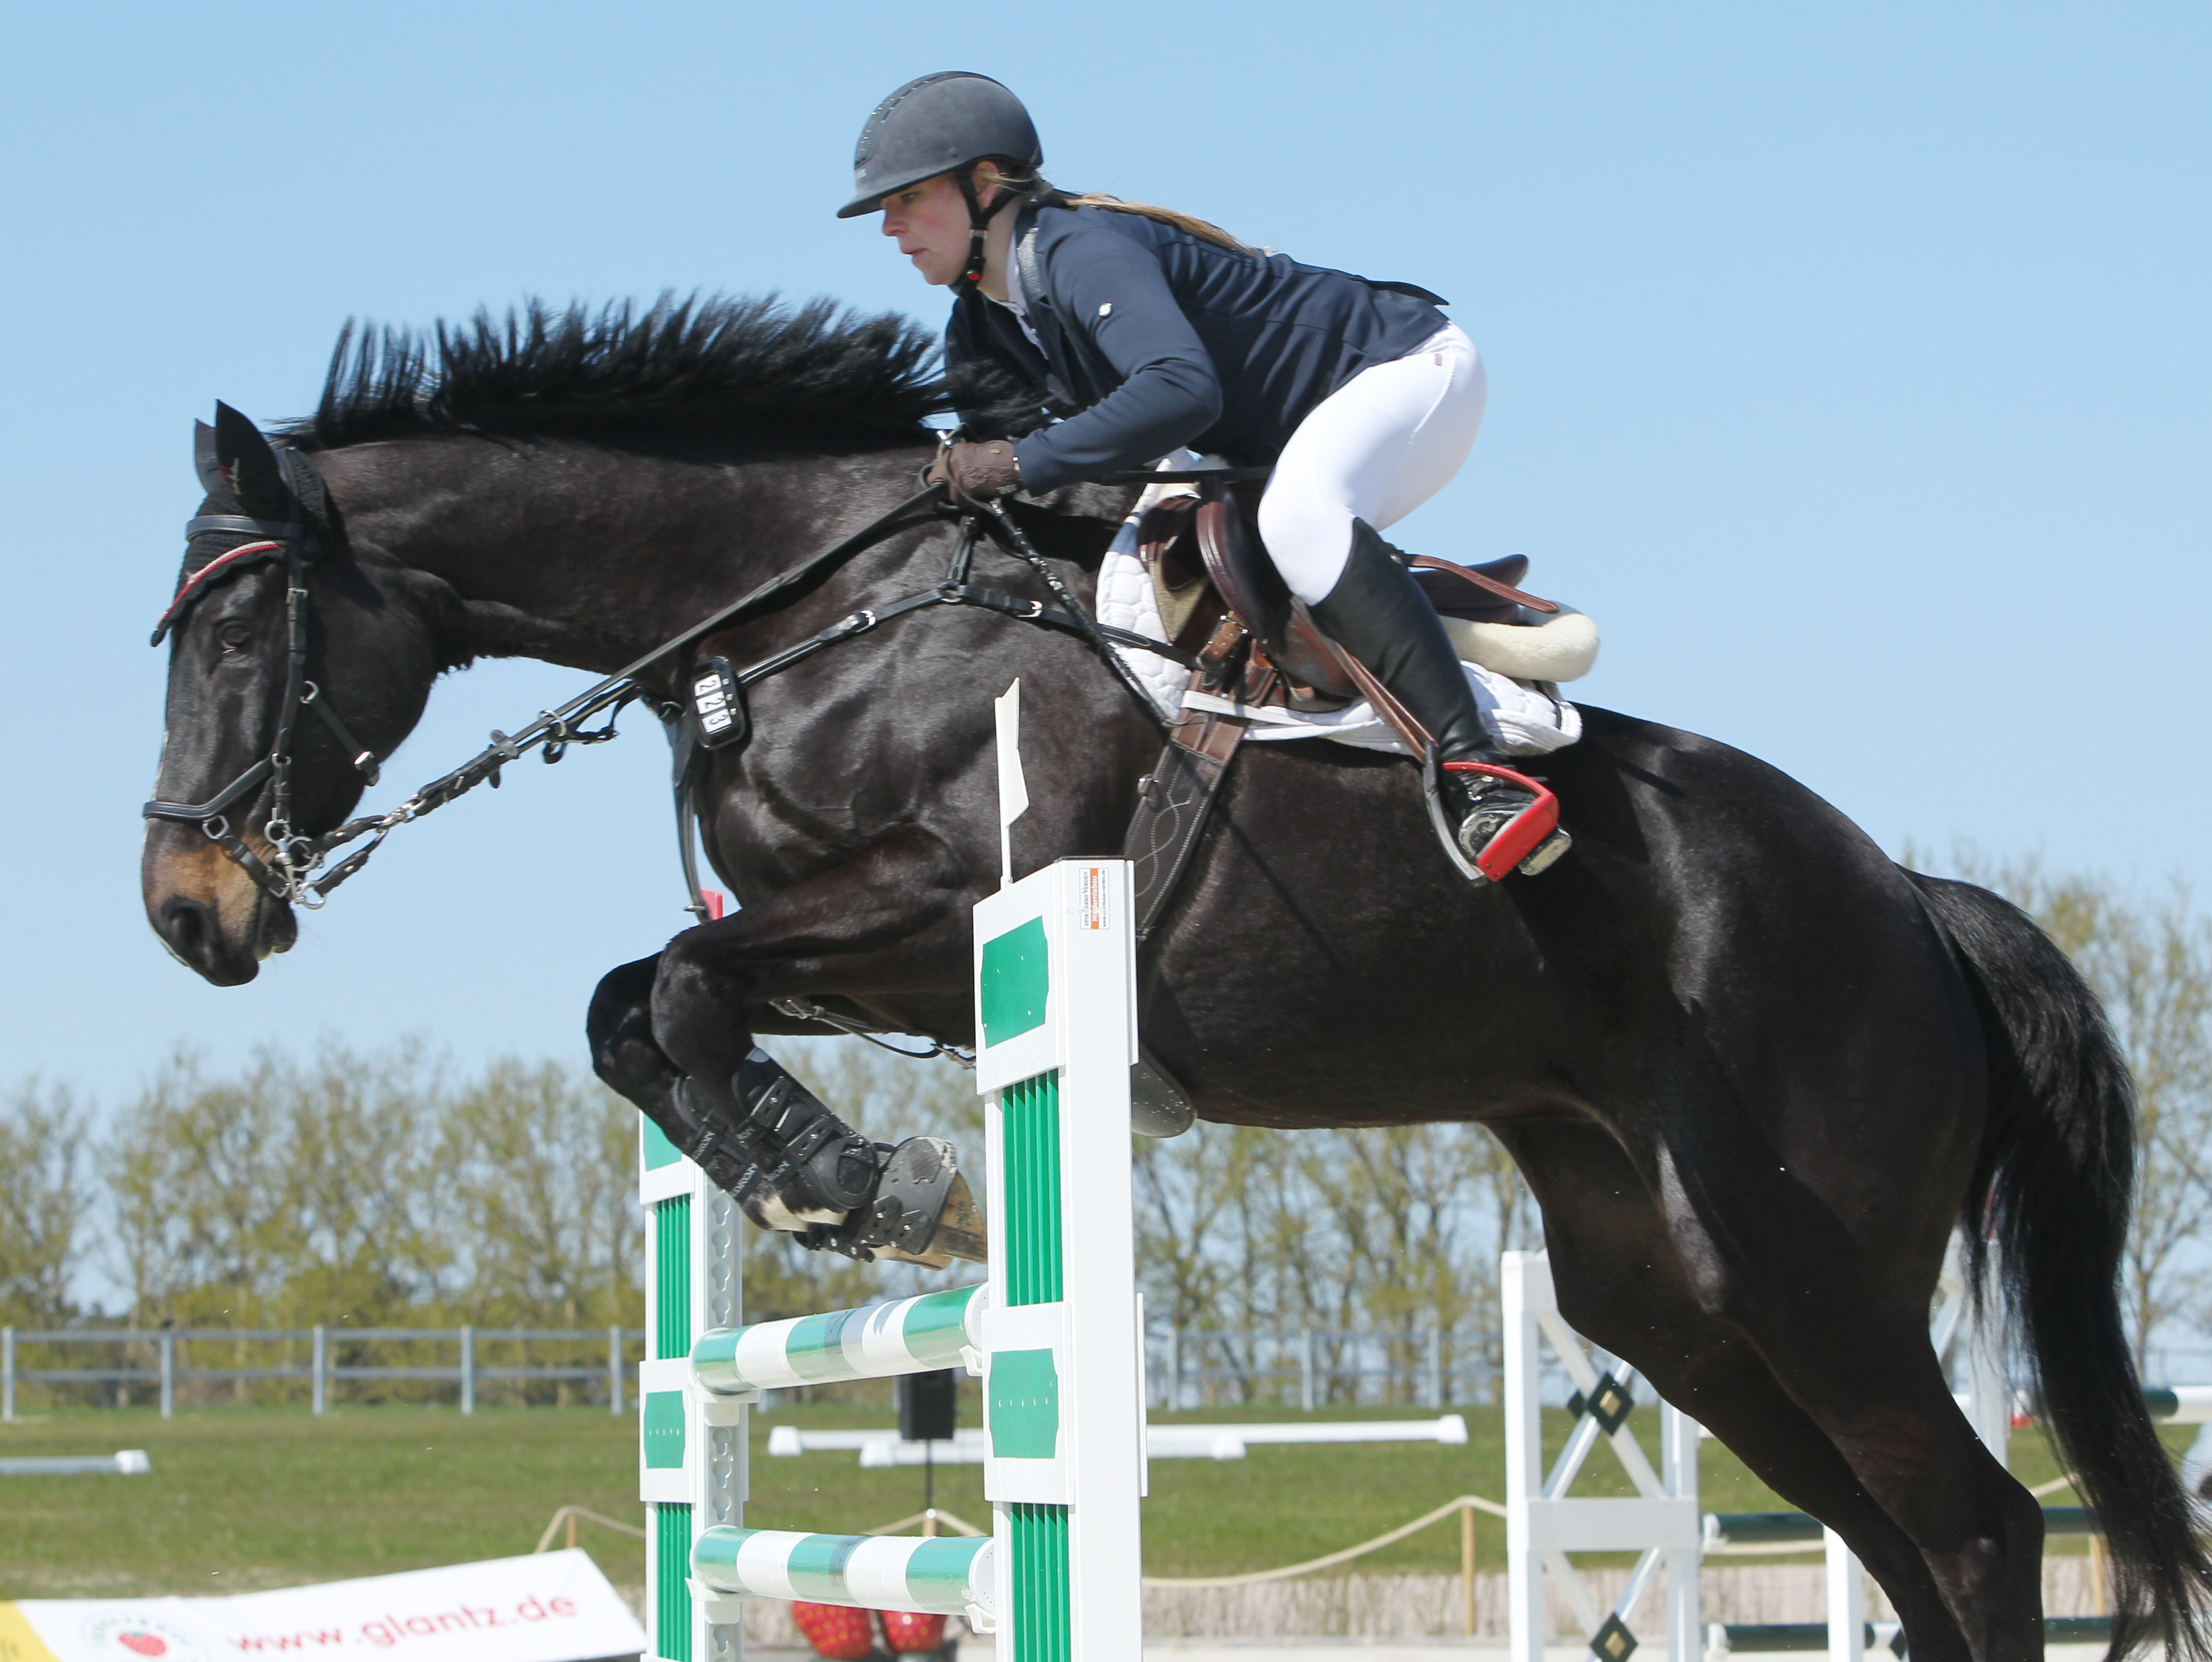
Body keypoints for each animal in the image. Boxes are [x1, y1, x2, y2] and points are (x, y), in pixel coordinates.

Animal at [147, 298, 2203, 1662]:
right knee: (1904, 1538)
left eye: (237, 627)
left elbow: (678, 989)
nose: (186, 908)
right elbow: (631, 1004)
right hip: (1670, 1294)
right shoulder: (862, 942)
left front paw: (868, 1183)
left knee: (1979, 1525)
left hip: (1809, 1265)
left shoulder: (940, 906)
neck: (805, 602)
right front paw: (820, 1173)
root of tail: (1910, 899)